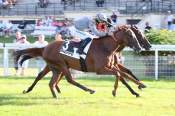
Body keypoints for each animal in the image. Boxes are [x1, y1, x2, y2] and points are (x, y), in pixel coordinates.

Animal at [15, 25, 146, 98]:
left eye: (136, 34)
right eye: (131, 35)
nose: (140, 48)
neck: (106, 47)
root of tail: (45, 48)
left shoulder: (111, 66)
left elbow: (123, 74)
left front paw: (139, 87)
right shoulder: (100, 69)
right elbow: (120, 74)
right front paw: (114, 91)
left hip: (55, 67)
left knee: (48, 80)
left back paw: (52, 94)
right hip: (61, 65)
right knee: (69, 80)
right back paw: (89, 90)